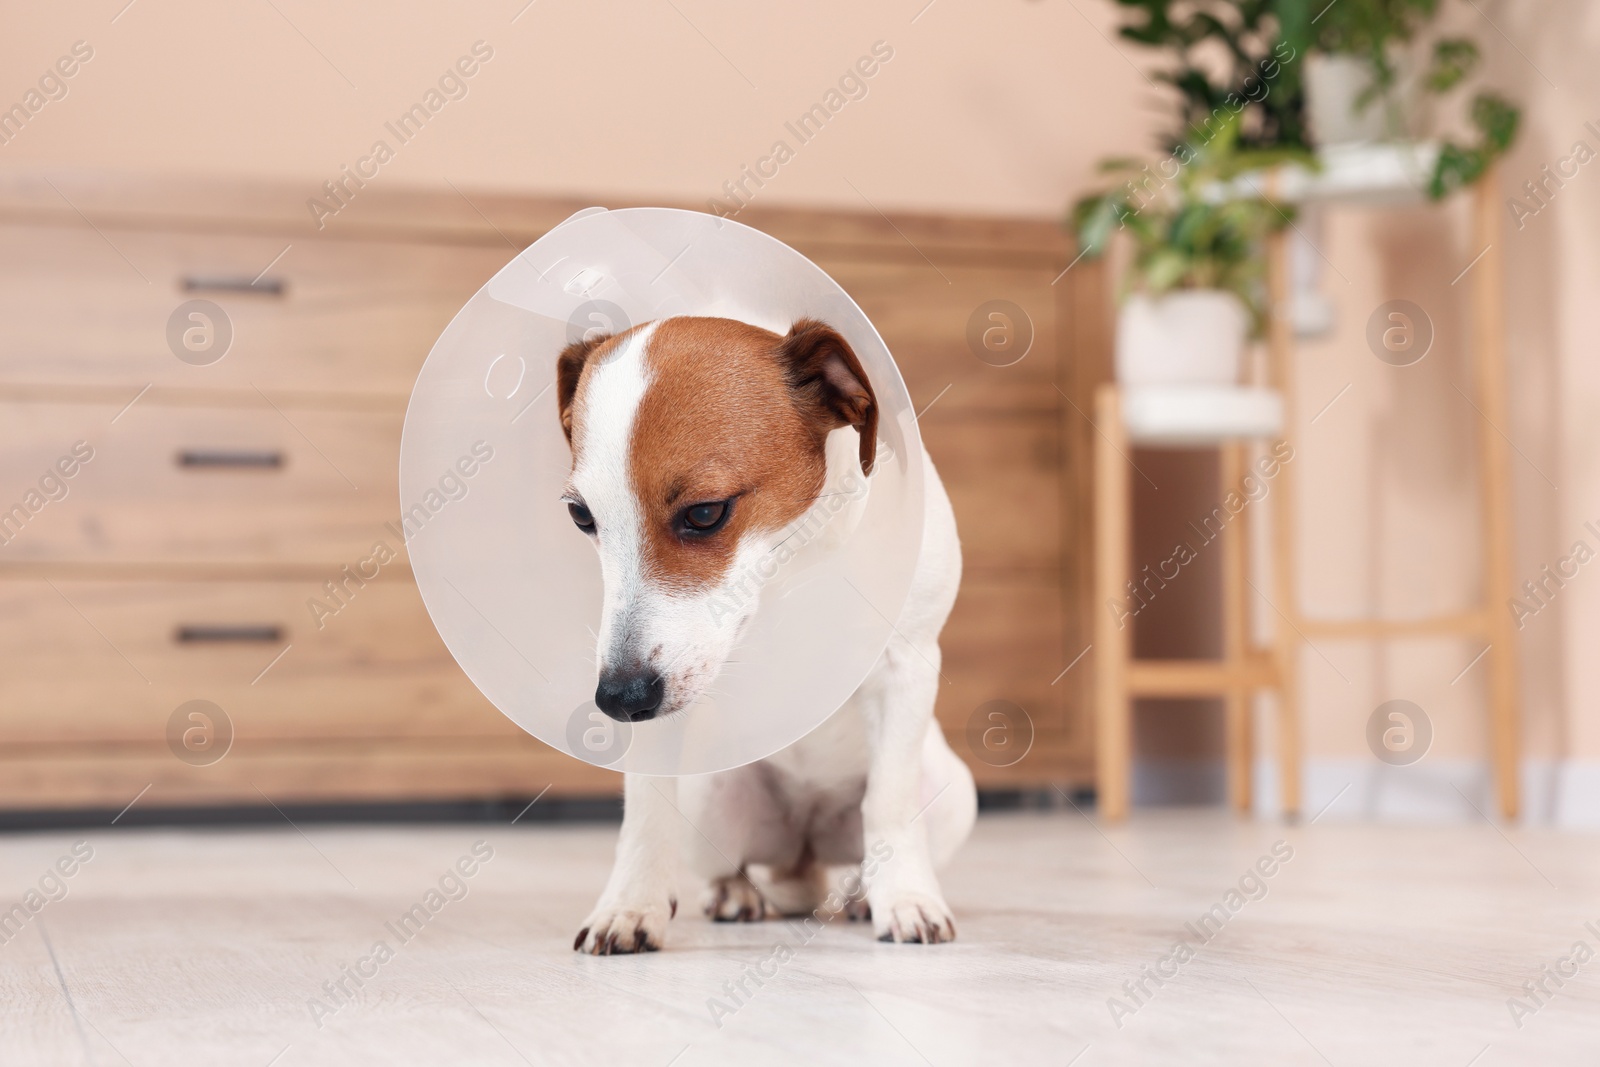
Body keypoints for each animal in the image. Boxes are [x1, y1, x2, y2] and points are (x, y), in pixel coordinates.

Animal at [550, 315, 972, 953]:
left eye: (705, 513)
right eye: (582, 517)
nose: (619, 699)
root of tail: (804, 850)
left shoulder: (906, 666)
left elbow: (889, 802)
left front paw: (905, 899)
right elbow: (644, 813)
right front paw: (630, 906)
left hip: (954, 792)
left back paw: (859, 893)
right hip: (709, 797)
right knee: (731, 862)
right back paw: (736, 893)